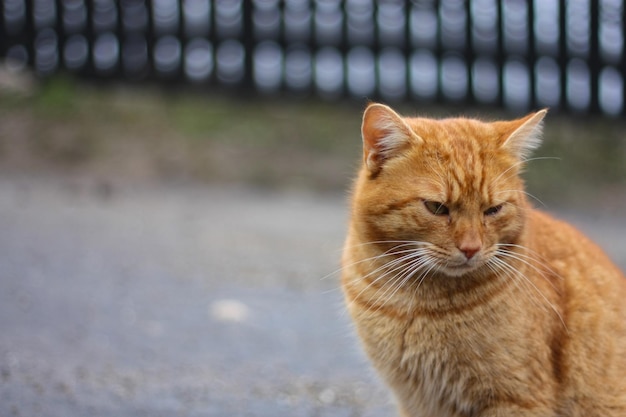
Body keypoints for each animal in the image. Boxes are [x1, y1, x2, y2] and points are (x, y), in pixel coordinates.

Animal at [342, 101, 624, 416]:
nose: (471, 248)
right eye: (437, 207)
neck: (414, 302)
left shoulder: (515, 398)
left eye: (493, 210)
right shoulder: (414, 399)